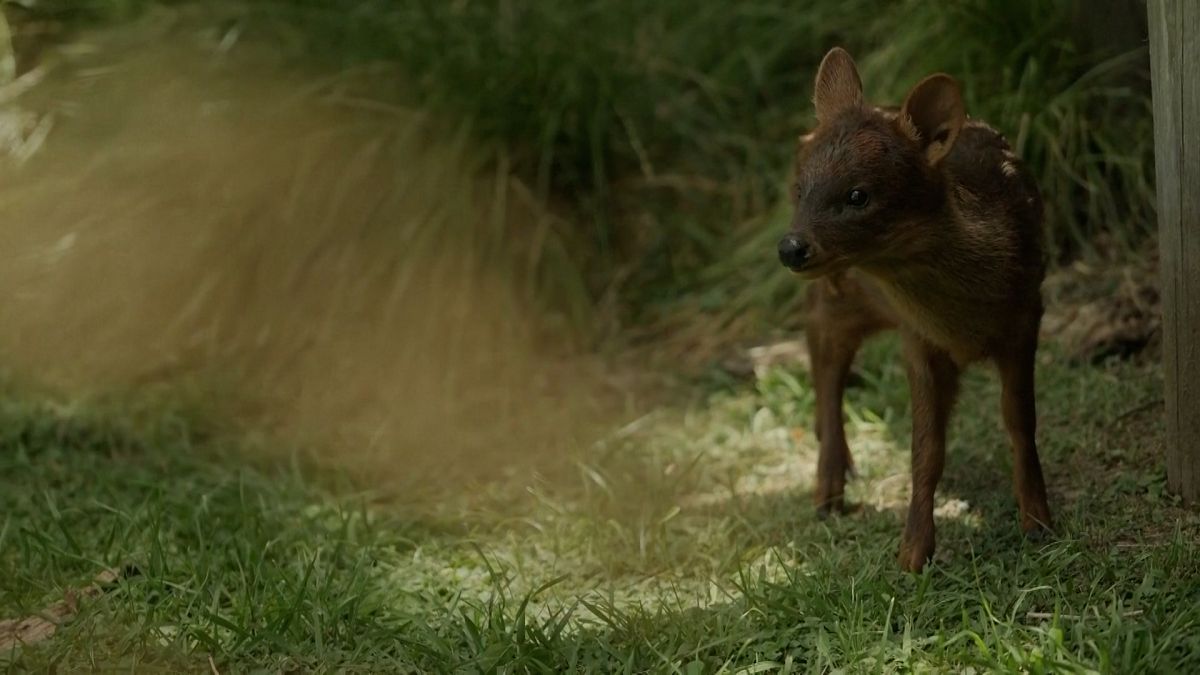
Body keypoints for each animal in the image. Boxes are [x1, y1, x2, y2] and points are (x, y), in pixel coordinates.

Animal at [777, 49, 1051, 569]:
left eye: (858, 193)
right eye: (800, 188)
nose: (791, 247)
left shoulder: (1027, 319)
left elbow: (1020, 422)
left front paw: (1038, 521)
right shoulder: (917, 338)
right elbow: (926, 448)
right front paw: (913, 552)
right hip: (837, 296)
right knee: (824, 363)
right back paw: (829, 488)